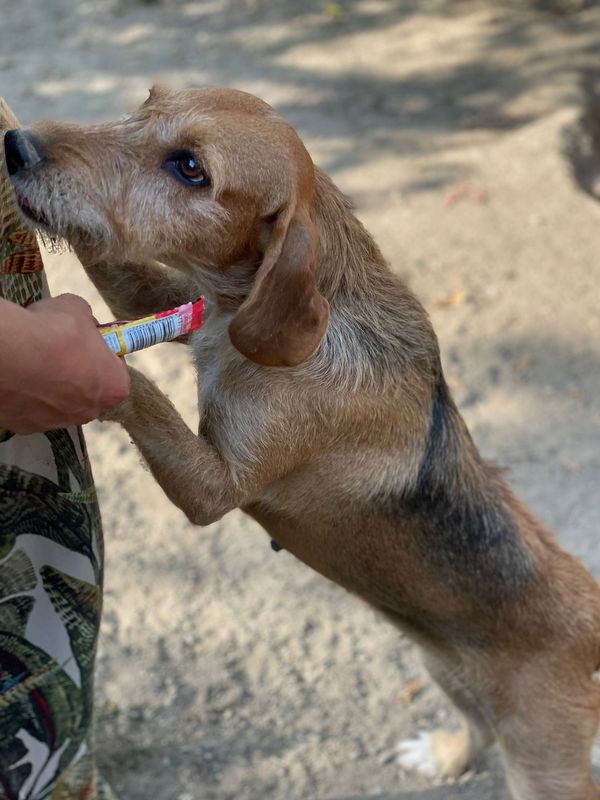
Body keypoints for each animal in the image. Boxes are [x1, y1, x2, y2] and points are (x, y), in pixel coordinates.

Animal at [4, 86, 600, 800]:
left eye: (191, 169)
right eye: (146, 101)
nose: (16, 146)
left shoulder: (215, 487)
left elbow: (138, 388)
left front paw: (85, 363)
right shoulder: (171, 300)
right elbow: (117, 267)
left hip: (544, 761)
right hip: (446, 670)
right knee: (477, 728)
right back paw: (443, 755)